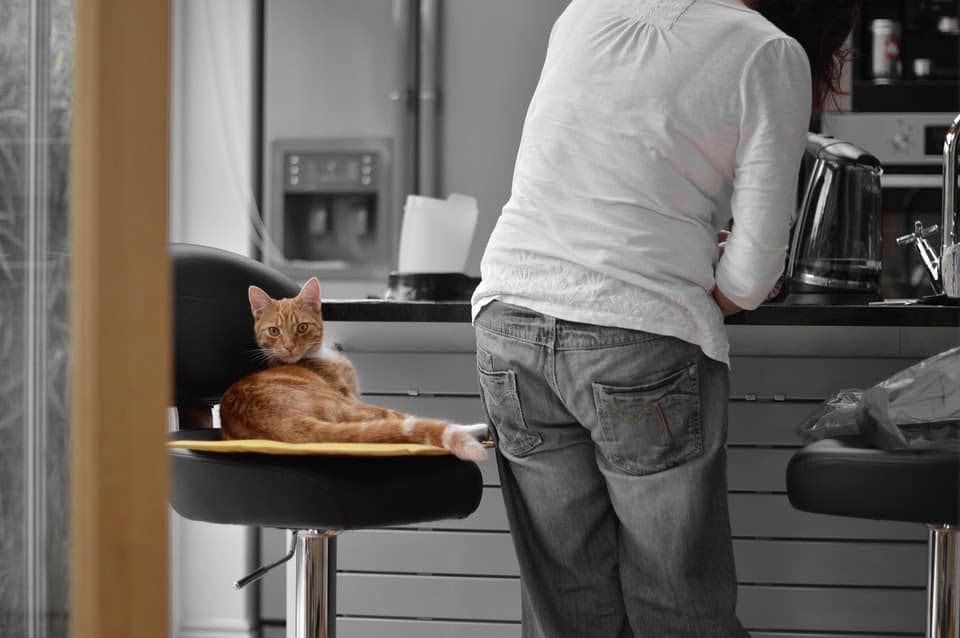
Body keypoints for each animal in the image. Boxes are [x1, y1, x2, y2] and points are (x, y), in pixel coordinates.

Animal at [218, 278, 488, 462]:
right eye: (274, 331)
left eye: (302, 327)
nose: (289, 347)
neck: (318, 356)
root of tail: (282, 424)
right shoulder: (350, 394)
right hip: (350, 405)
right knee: (407, 419)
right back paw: (477, 430)